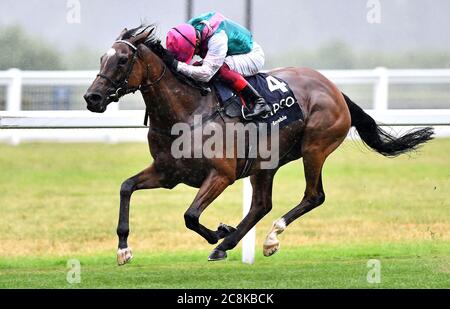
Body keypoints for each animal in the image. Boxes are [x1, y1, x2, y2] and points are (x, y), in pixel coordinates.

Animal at [83, 25, 432, 264]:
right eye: (101, 58)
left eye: (123, 60)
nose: (92, 97)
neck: (187, 111)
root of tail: (333, 88)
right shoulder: (168, 172)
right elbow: (126, 187)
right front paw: (123, 249)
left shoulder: (221, 175)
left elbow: (191, 215)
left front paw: (219, 231)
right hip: (265, 163)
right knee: (261, 204)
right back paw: (229, 244)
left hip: (314, 148)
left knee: (313, 196)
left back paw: (268, 238)